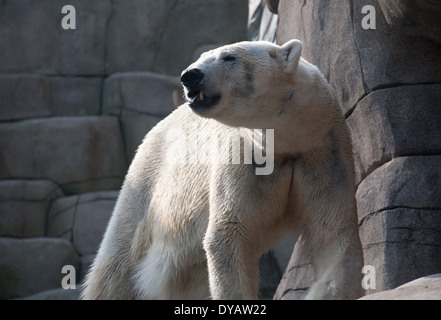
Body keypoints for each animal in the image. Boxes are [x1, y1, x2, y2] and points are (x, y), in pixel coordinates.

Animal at [81, 39, 362, 300]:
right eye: (202, 56)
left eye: (229, 57)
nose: (190, 75)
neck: (287, 141)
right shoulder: (245, 157)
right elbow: (229, 233)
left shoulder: (323, 154)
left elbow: (332, 231)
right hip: (145, 187)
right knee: (118, 264)